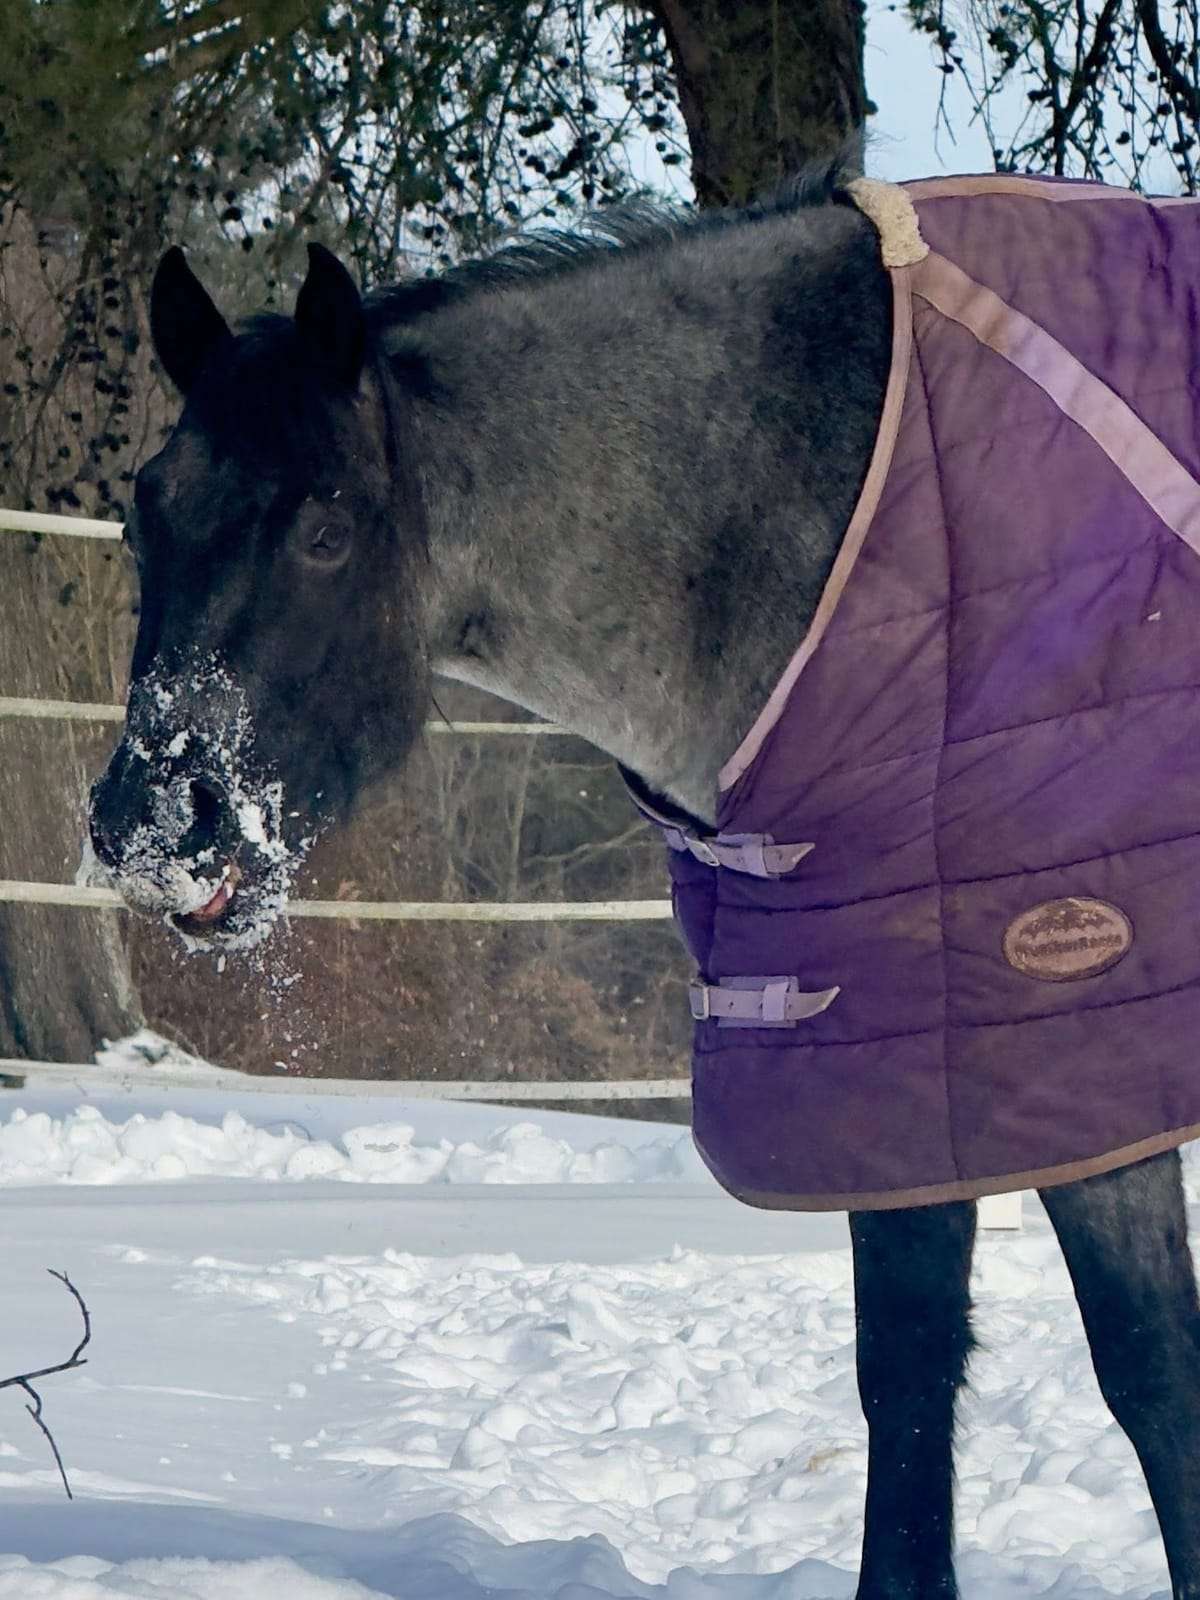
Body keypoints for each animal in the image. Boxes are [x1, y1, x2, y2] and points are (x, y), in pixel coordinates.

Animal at [87, 159, 1200, 1597]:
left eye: (326, 526)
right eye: (145, 514)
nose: (153, 825)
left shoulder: (1057, 1043)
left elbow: (1125, 1368)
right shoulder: (914, 1050)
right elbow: (929, 1371)